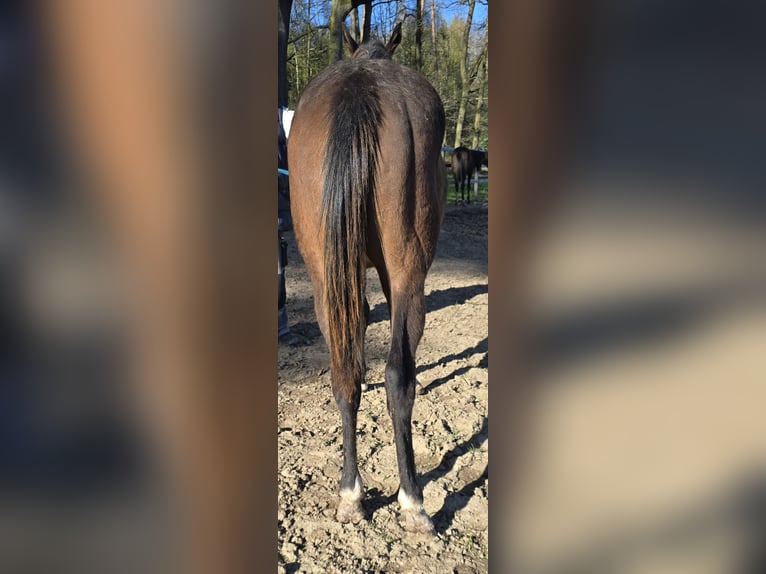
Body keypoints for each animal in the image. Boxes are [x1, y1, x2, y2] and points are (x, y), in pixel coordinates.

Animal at [288, 22, 446, 534]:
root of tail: (361, 87)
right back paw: (413, 500)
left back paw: (350, 493)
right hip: (408, 273)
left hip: (324, 278)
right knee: (399, 373)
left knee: (344, 372)